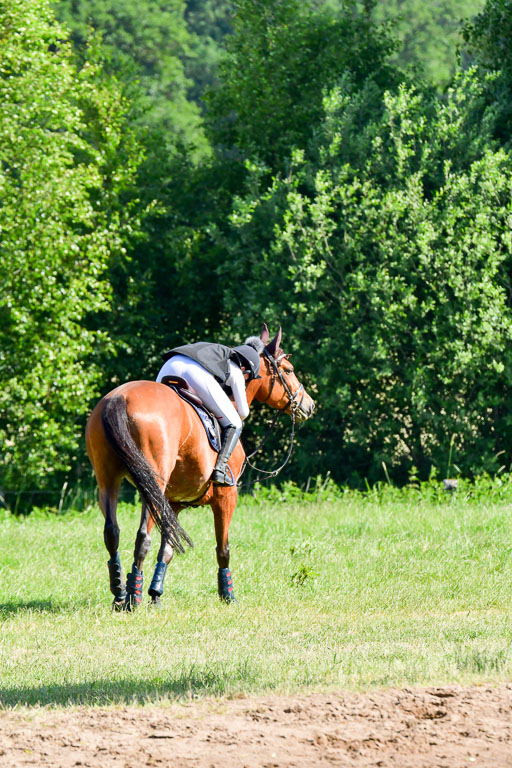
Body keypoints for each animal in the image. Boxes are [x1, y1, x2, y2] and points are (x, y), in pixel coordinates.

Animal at [85, 325, 315, 608]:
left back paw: (119, 594)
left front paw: (156, 595)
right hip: (152, 483)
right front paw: (228, 595)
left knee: (112, 533)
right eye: (289, 370)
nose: (309, 405)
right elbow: (222, 549)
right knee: (141, 537)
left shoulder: (174, 503)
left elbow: (168, 548)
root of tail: (118, 398)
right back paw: (132, 599)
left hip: (108, 480)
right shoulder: (227, 496)